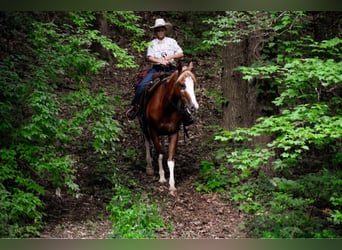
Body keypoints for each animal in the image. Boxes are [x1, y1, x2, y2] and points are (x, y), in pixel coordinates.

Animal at [138, 61, 199, 193]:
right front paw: (161, 177)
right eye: (182, 85)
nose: (194, 107)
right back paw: (149, 166)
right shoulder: (153, 131)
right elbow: (159, 154)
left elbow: (171, 160)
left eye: (194, 85)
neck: (165, 107)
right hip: (144, 125)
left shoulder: (174, 132)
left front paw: (172, 184)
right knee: (147, 142)